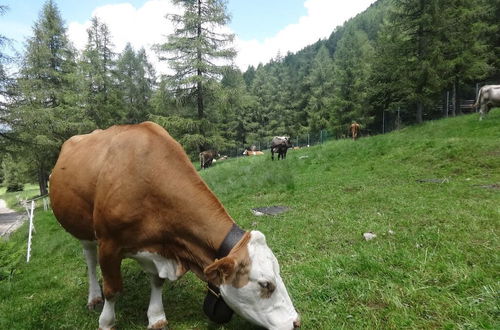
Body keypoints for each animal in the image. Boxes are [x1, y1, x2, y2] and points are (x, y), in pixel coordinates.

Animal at [49, 122, 300, 330]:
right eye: (266, 284)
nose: (296, 322)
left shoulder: (161, 246)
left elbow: (157, 281)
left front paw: (156, 316)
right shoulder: (109, 243)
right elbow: (113, 289)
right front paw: (106, 322)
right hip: (85, 231)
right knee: (91, 262)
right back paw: (93, 296)